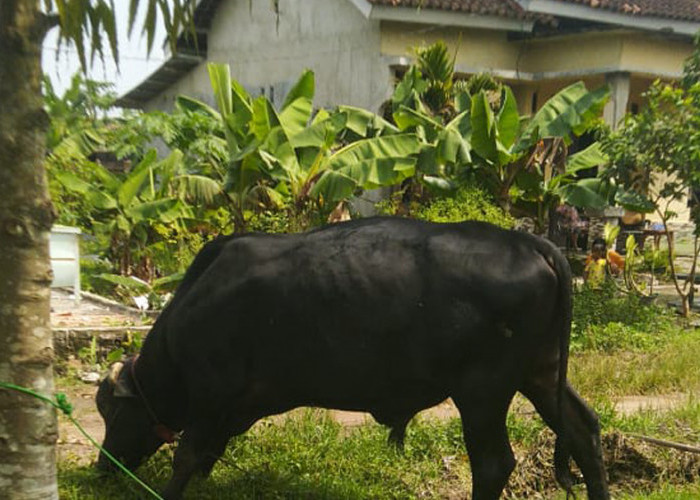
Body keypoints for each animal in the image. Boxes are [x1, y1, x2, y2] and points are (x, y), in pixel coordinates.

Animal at [95, 219, 608, 500]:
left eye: (113, 412)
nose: (102, 468)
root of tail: (530, 243)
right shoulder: (226, 409)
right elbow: (204, 456)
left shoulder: (210, 391)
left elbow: (186, 456)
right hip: (540, 372)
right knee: (583, 429)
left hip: (483, 391)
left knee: (493, 464)